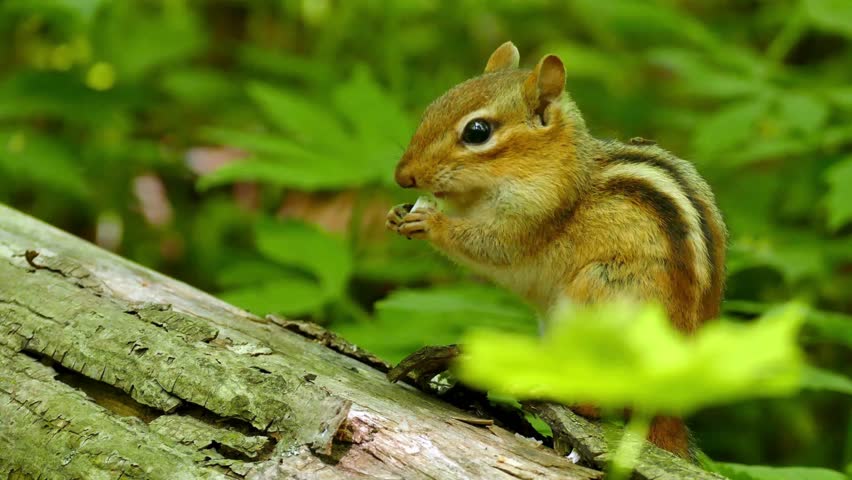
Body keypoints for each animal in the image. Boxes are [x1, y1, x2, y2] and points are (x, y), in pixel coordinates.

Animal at [385, 41, 727, 458]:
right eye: (434, 106)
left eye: (477, 132)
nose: (403, 176)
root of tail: (666, 402)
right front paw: (397, 213)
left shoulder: (533, 216)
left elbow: (491, 247)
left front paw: (432, 223)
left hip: (598, 300)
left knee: (597, 404)